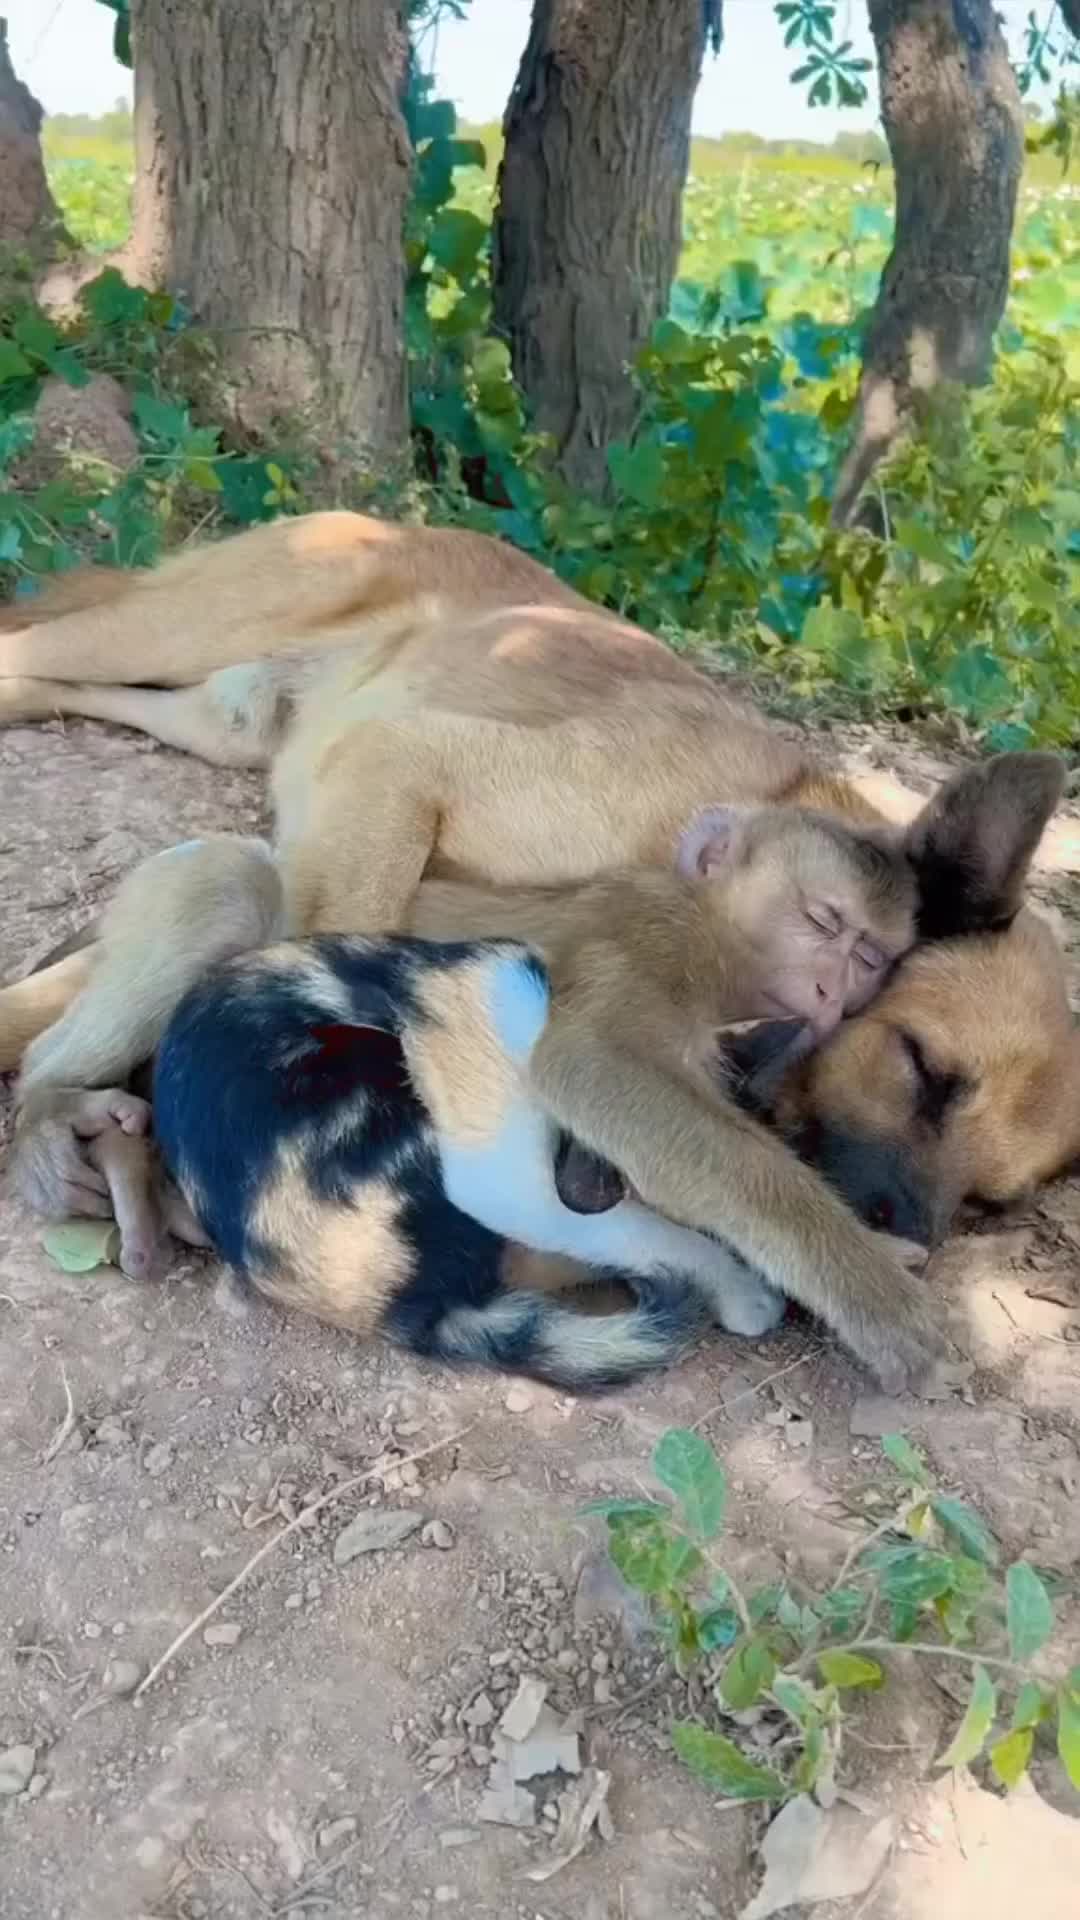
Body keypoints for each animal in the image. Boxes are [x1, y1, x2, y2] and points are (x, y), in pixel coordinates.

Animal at [0, 506, 1068, 1382]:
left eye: (988, 1206)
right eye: (922, 1069)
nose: (914, 1232)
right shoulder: (409, 777)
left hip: (214, 715)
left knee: (58, 689)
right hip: (182, 630)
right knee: (29, 651)